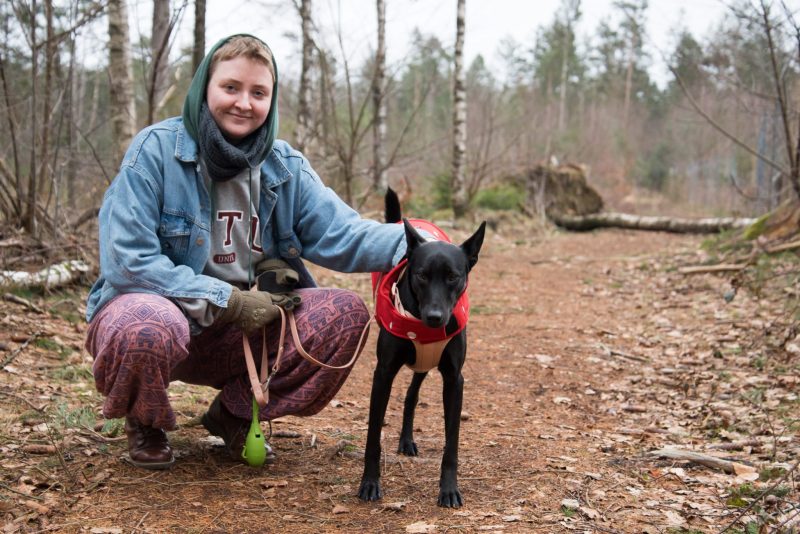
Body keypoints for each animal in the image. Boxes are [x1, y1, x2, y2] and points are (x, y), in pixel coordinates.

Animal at [358, 189, 484, 510]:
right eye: (422, 275)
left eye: (453, 276)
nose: (435, 317)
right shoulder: (383, 375)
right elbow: (372, 437)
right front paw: (369, 483)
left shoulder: (454, 380)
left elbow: (451, 443)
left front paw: (449, 489)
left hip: (425, 364)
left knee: (411, 396)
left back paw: (406, 439)